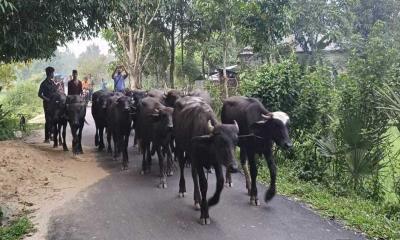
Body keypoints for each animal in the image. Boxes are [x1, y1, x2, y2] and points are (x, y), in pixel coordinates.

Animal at [174, 96, 238, 225]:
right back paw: (182, 189)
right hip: (180, 147)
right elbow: (204, 184)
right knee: (183, 167)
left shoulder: (216, 162)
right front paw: (205, 213)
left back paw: (197, 200)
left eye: (235, 142)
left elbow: (220, 182)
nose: (233, 167)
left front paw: (211, 201)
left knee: (194, 175)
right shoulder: (198, 161)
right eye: (221, 142)